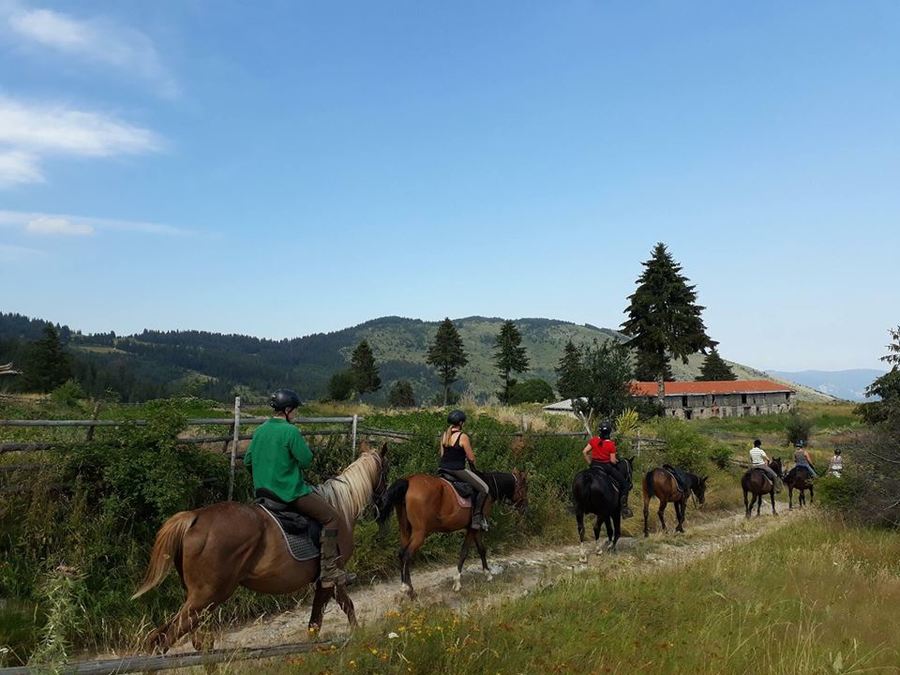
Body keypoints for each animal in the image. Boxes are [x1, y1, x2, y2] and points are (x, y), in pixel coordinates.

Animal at [131, 440, 390, 652]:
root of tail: (194, 517)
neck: (340, 506)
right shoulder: (330, 578)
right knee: (165, 639)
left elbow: (326, 615)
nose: (384, 502)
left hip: (199, 600)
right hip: (206, 597)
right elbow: (337, 611)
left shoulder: (326, 581)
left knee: (180, 639)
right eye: (386, 472)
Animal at [374, 470, 528, 596]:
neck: (488, 487)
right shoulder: (473, 528)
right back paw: (408, 589)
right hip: (420, 533)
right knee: (407, 554)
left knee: (401, 553)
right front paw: (458, 582)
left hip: (405, 529)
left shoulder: (475, 528)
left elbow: (481, 549)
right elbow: (465, 552)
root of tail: (409, 481)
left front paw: (487, 573)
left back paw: (406, 586)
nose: (525, 507)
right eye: (524, 488)